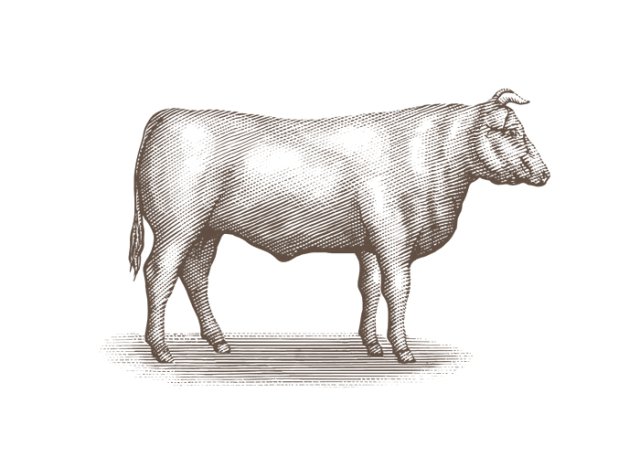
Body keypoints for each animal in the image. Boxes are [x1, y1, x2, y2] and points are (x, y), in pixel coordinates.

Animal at [129, 89, 549, 364]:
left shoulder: (369, 244)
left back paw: (219, 342)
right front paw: (402, 350)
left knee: (195, 276)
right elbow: (398, 289)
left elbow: (370, 287)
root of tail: (170, 114)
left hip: (207, 230)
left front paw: (373, 345)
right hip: (177, 226)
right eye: (511, 131)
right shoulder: (394, 238)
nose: (545, 173)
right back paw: (162, 350)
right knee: (159, 273)